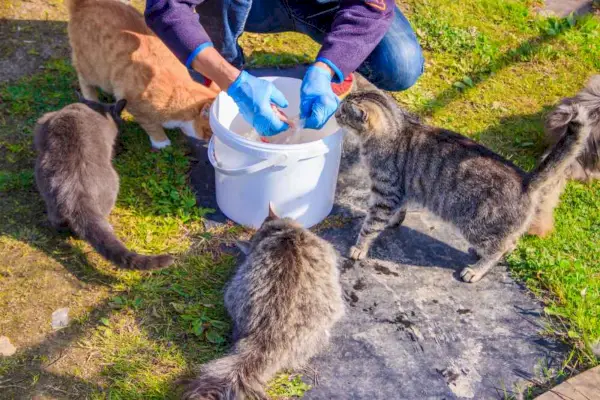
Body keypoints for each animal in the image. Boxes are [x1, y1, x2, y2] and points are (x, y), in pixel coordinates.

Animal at [336, 89, 592, 282]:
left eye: (342, 112)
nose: (335, 113)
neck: (395, 130)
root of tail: (526, 180)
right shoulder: (401, 191)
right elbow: (398, 212)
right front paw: (392, 222)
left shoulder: (385, 192)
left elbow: (371, 224)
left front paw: (360, 247)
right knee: (511, 242)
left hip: (476, 225)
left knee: (499, 248)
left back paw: (476, 271)